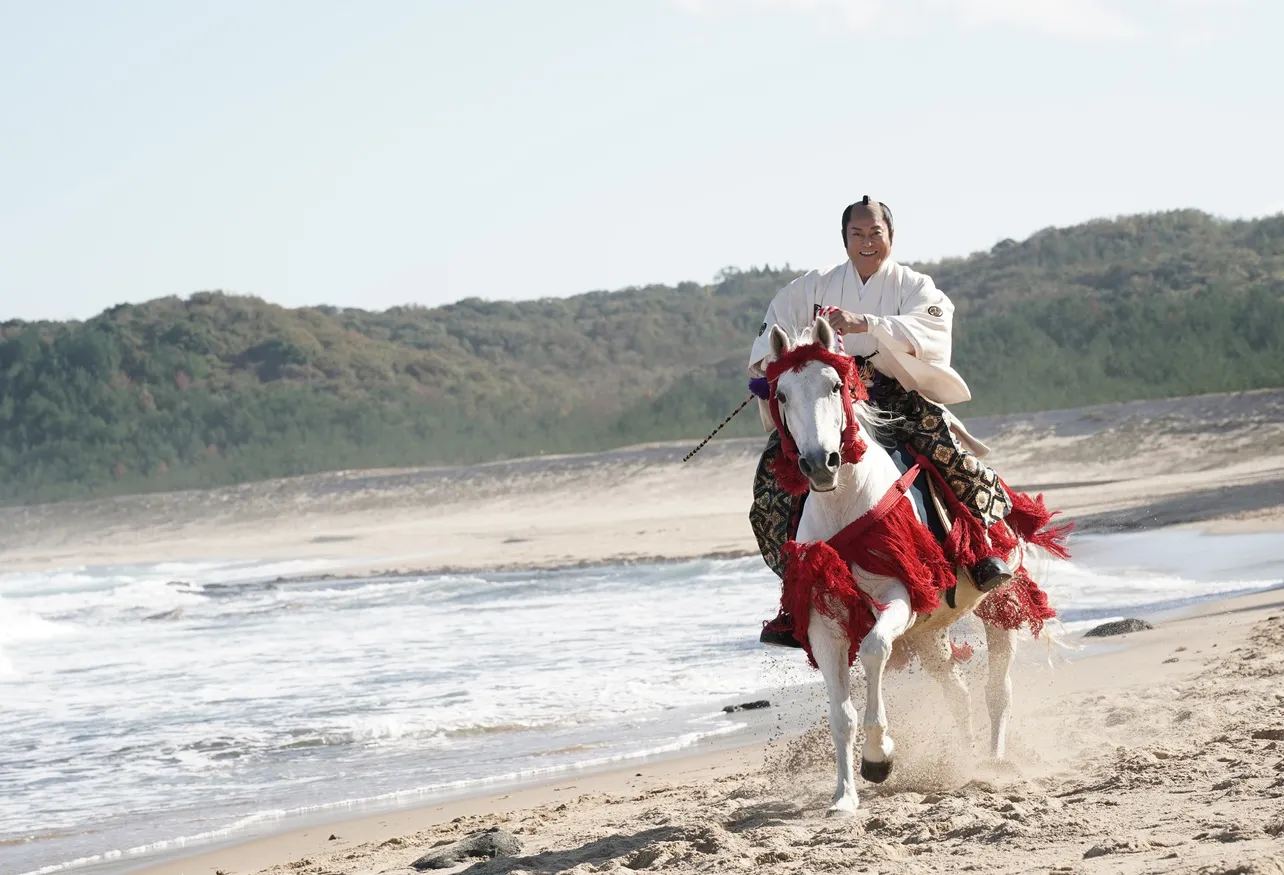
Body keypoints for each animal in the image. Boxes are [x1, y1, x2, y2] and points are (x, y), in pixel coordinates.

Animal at [765, 317, 1027, 817]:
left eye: (835, 385)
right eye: (782, 395)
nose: (820, 463)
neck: (845, 506)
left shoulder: (899, 597)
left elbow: (873, 650)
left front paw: (879, 758)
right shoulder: (824, 620)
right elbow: (840, 713)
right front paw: (844, 797)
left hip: (998, 601)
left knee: (997, 688)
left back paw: (994, 761)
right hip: (931, 632)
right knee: (957, 694)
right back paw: (963, 758)